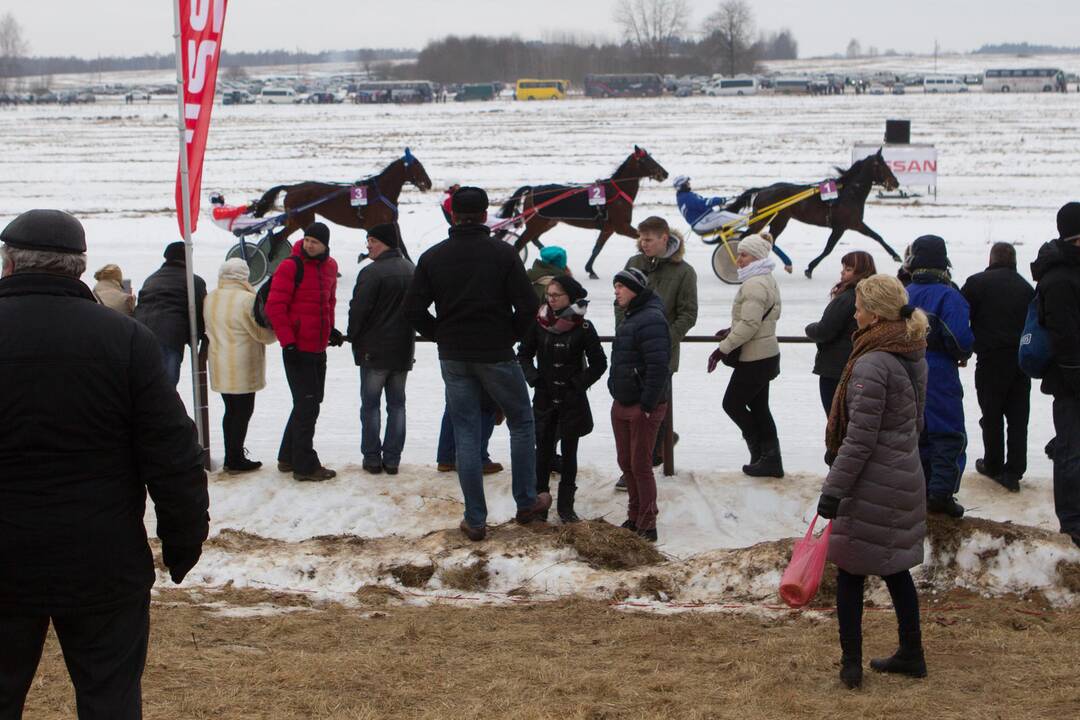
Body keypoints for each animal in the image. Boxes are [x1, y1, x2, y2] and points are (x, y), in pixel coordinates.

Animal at [252, 146, 434, 259]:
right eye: (417, 165)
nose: (429, 183)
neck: (381, 192)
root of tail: (292, 188)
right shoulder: (373, 224)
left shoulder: (392, 223)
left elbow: (401, 246)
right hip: (304, 219)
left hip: (297, 219)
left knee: (278, 237)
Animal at [494, 146, 665, 278]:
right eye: (646, 160)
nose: (665, 173)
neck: (617, 192)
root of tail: (532, 189)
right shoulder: (621, 227)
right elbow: (640, 238)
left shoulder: (608, 228)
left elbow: (597, 248)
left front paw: (590, 270)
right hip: (536, 223)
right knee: (519, 243)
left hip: (547, 222)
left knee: (535, 239)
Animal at [725, 147, 902, 278]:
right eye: (883, 166)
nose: (896, 182)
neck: (849, 192)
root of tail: (763, 190)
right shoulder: (845, 225)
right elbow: (829, 249)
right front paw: (810, 268)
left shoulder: (853, 224)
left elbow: (877, 237)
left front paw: (895, 255)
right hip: (764, 218)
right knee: (745, 237)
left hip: (779, 220)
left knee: (769, 240)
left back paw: (785, 264)